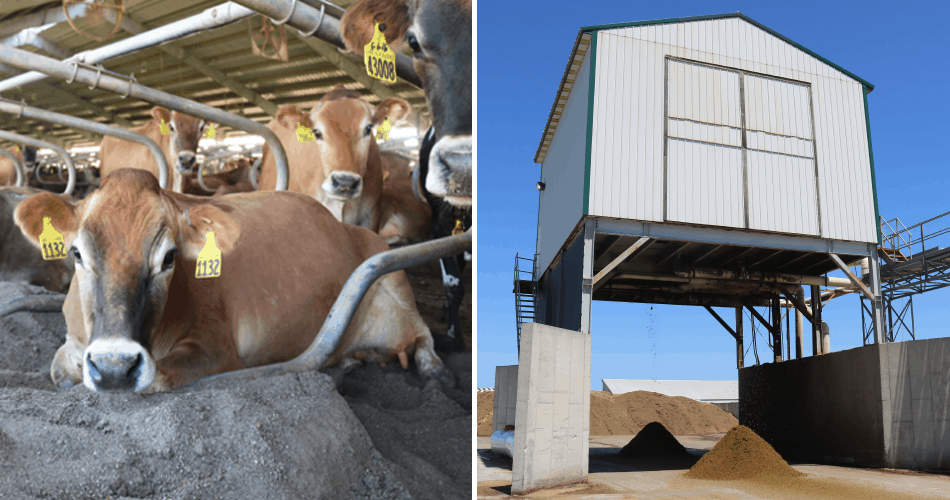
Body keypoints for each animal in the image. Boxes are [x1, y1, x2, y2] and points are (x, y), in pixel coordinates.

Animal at [13, 170, 448, 392]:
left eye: (169, 257)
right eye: (77, 253)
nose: (115, 367)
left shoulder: (215, 348)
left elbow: (158, 379)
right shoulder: (73, 341)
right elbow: (59, 369)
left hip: (391, 273)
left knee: (421, 332)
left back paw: (431, 368)